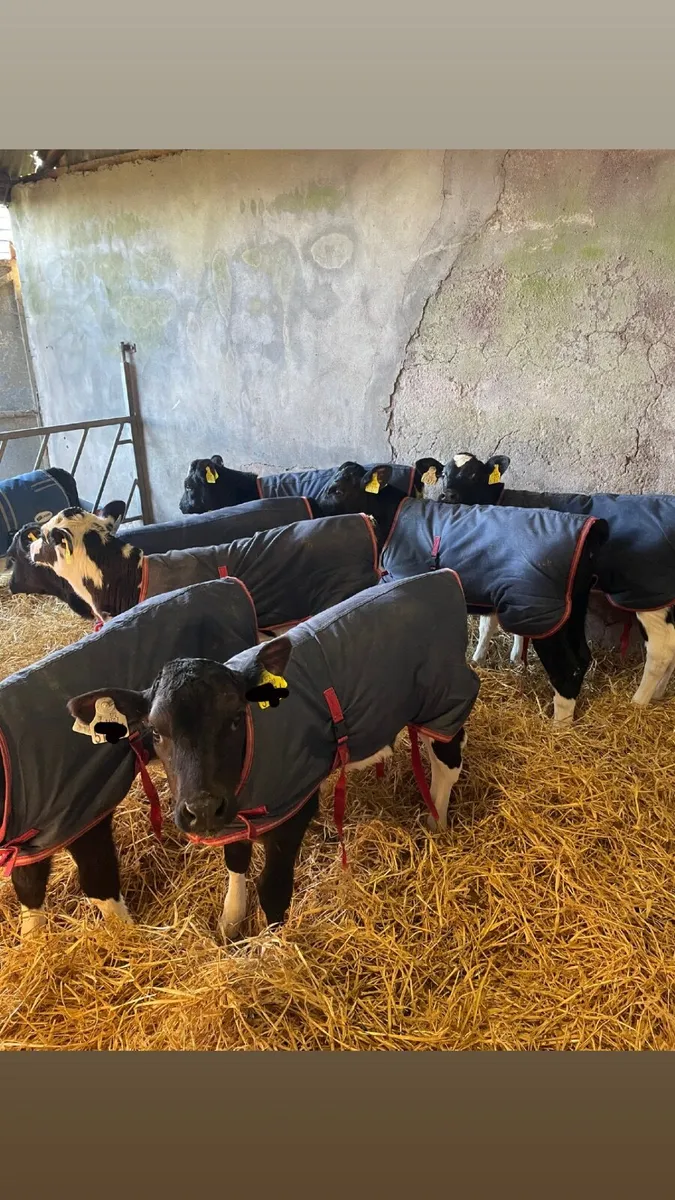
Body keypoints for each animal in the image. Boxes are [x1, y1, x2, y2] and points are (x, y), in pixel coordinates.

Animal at [67, 571, 479, 942]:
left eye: (236, 719)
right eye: (155, 732)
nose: (200, 809)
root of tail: (440, 576)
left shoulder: (293, 808)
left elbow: (274, 888)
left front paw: (273, 946)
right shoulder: (234, 812)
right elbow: (235, 860)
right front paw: (231, 921)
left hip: (444, 695)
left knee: (447, 759)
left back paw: (437, 820)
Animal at [315, 462, 610, 725]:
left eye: (336, 489)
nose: (314, 509)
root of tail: (592, 529)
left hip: (543, 614)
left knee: (567, 669)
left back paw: (559, 727)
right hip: (572, 609)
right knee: (583, 657)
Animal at [417, 452, 675, 708]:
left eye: (473, 475)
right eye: (444, 474)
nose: (447, 495)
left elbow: (490, 623)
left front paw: (484, 657)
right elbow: (502, 625)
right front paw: (508, 658)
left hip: (648, 595)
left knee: (660, 650)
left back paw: (638, 701)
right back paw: (659, 693)